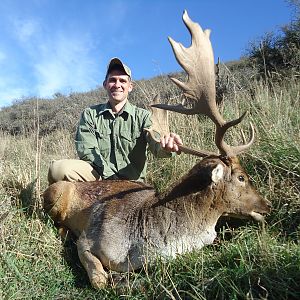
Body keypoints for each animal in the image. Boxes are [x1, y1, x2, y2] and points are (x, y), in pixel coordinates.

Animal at [42, 10, 272, 290]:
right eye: (241, 177)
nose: (268, 205)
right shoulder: (88, 239)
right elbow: (98, 280)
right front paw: (114, 278)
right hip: (55, 195)